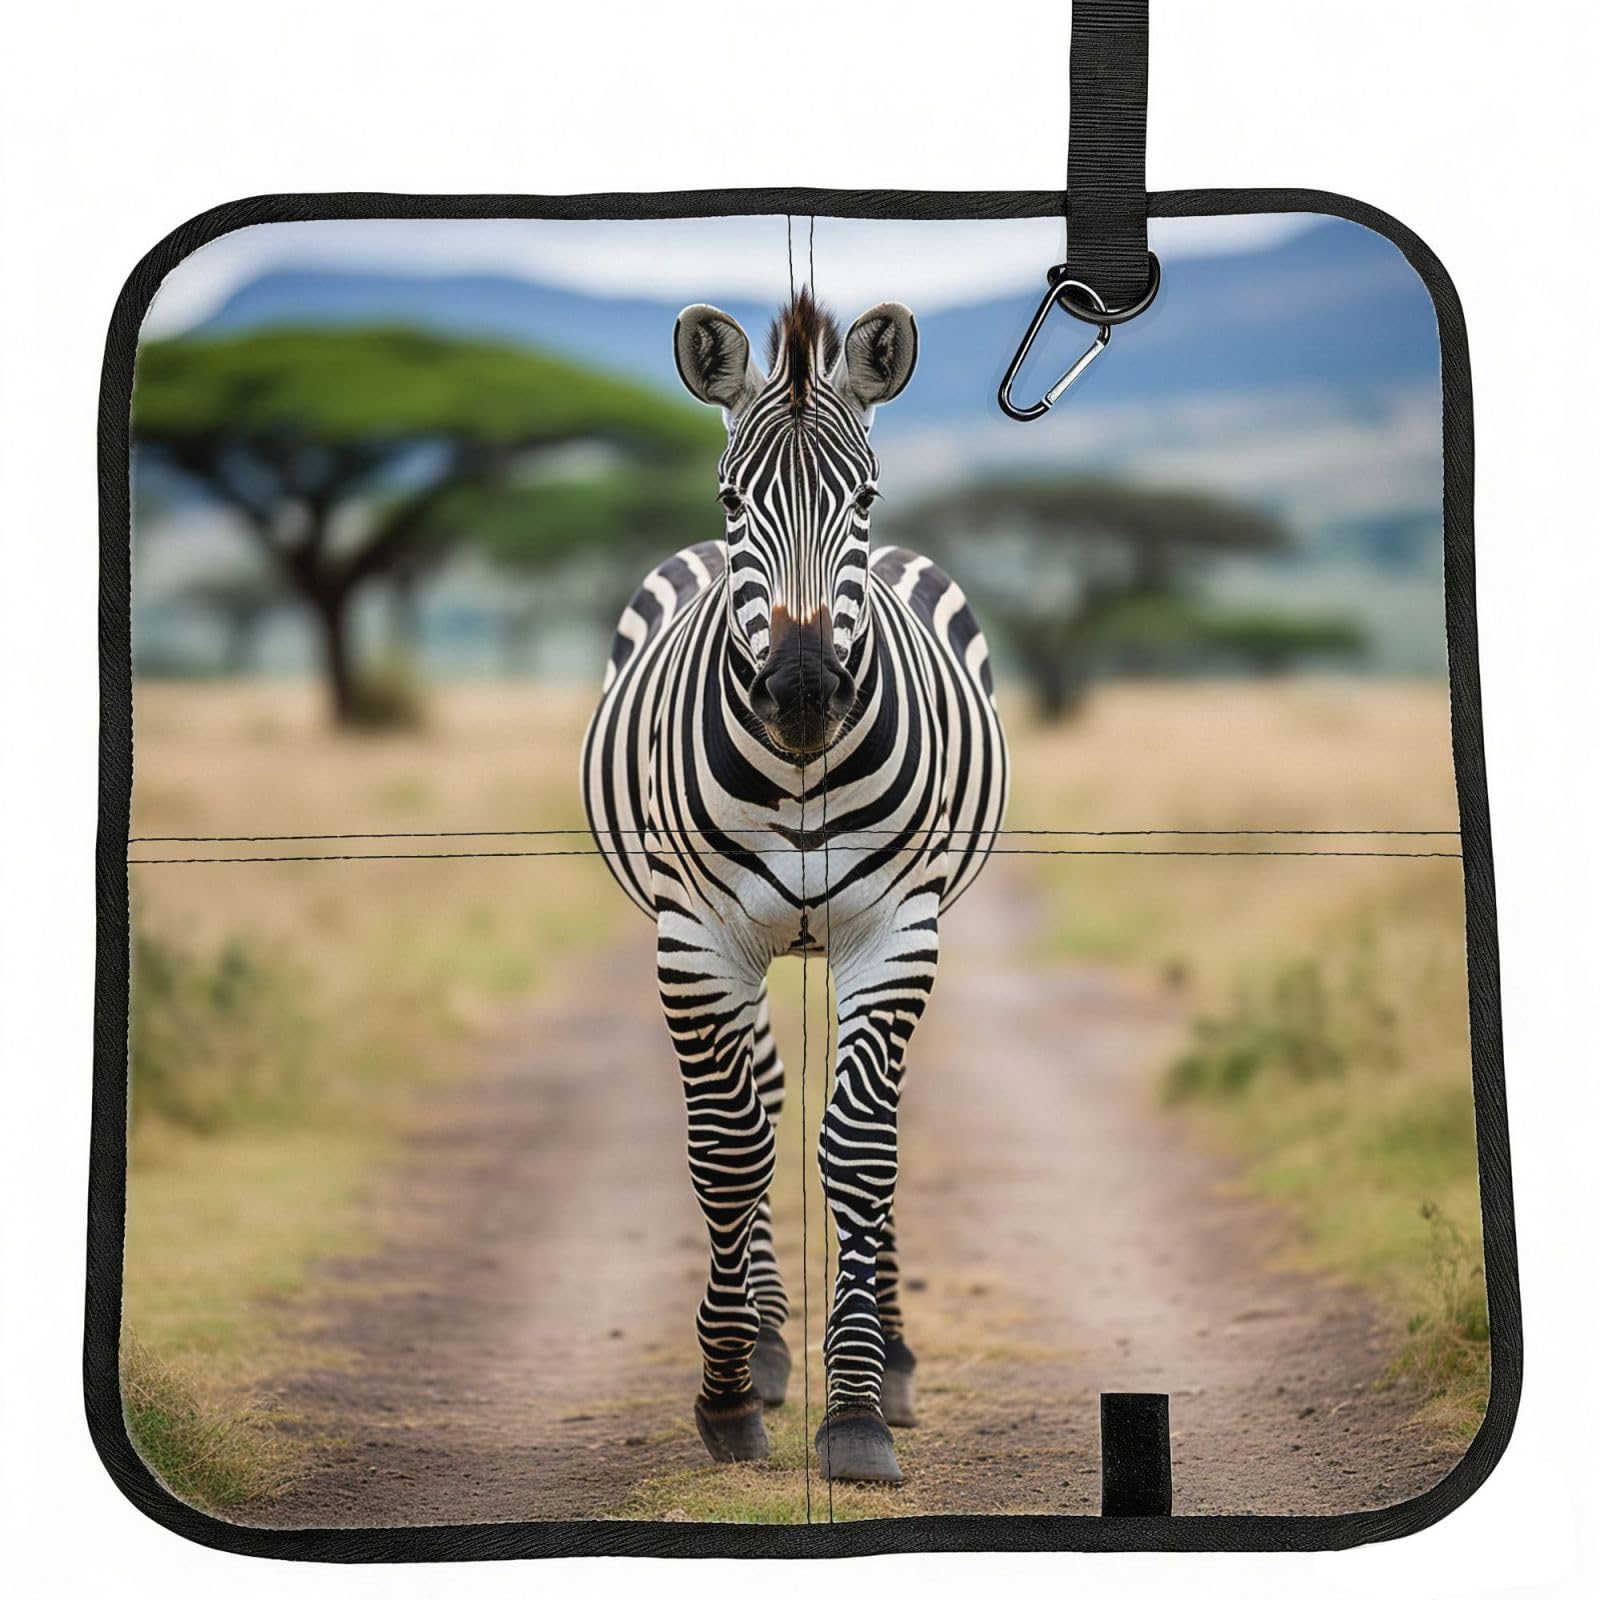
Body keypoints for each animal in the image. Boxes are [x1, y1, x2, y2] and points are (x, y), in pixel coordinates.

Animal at [580, 289, 1008, 1483]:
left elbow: (861, 1150)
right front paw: (730, 1391)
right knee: (765, 1099)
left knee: (866, 1117)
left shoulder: (894, 929)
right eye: (733, 498)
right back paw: (769, 1344)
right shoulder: (695, 939)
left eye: (863, 497)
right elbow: (731, 1153)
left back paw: (891, 1359)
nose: (805, 695)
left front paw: (857, 1408)